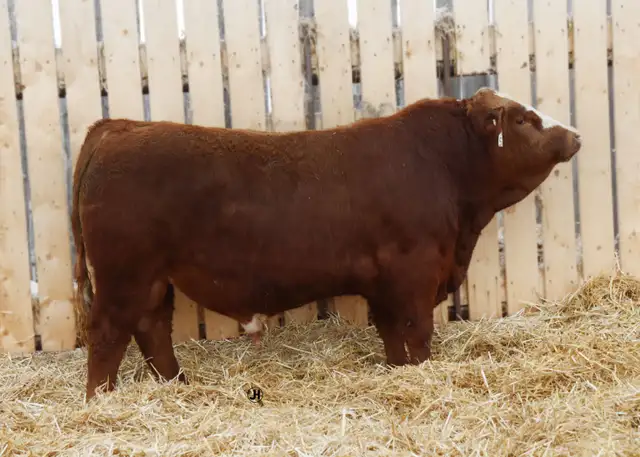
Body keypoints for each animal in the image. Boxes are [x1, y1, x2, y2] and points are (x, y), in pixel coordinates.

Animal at [71, 87, 581, 401]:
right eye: (524, 118)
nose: (574, 135)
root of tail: (120, 127)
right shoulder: (413, 273)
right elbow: (415, 333)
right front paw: (419, 373)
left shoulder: (385, 284)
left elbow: (392, 335)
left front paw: (398, 372)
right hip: (123, 275)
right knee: (109, 334)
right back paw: (101, 399)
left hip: (152, 280)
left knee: (151, 328)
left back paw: (177, 385)